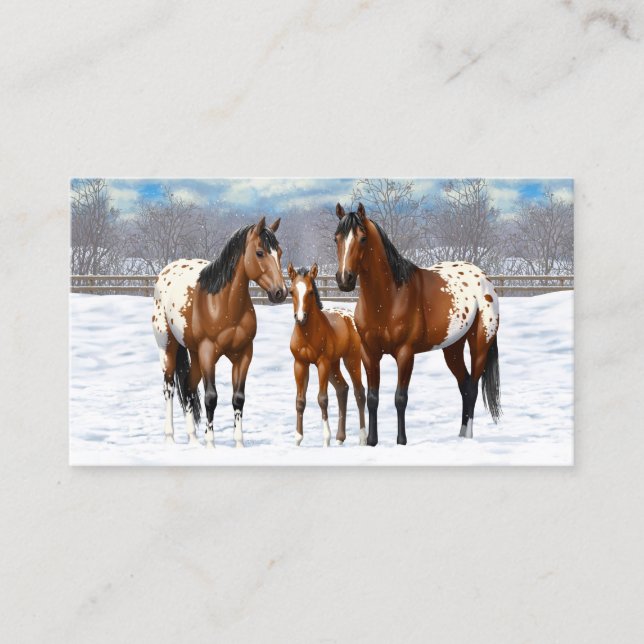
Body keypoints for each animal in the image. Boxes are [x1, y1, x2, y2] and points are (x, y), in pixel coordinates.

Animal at [152, 217, 287, 448]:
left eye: (279, 252)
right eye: (260, 252)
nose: (280, 292)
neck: (223, 305)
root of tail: (166, 271)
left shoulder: (243, 354)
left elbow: (238, 398)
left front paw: (239, 443)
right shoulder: (208, 353)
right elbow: (211, 397)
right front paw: (210, 444)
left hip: (194, 354)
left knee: (188, 388)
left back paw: (193, 438)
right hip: (168, 346)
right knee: (169, 387)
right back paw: (170, 437)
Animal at [288, 262, 367, 447]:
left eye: (310, 292)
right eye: (291, 291)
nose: (300, 317)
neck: (308, 334)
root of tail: (350, 317)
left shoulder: (322, 363)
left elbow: (322, 399)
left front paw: (326, 439)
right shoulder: (300, 364)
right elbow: (300, 401)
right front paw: (298, 439)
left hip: (351, 360)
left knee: (359, 392)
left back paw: (362, 439)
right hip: (334, 364)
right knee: (342, 389)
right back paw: (340, 438)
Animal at [333, 203, 501, 446]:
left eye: (362, 238)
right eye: (336, 238)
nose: (344, 279)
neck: (390, 297)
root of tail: (483, 277)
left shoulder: (405, 354)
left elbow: (400, 397)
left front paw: (401, 441)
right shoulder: (369, 353)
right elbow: (373, 397)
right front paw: (372, 441)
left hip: (480, 344)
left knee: (472, 386)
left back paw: (468, 436)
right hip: (452, 348)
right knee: (464, 385)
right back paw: (460, 434)